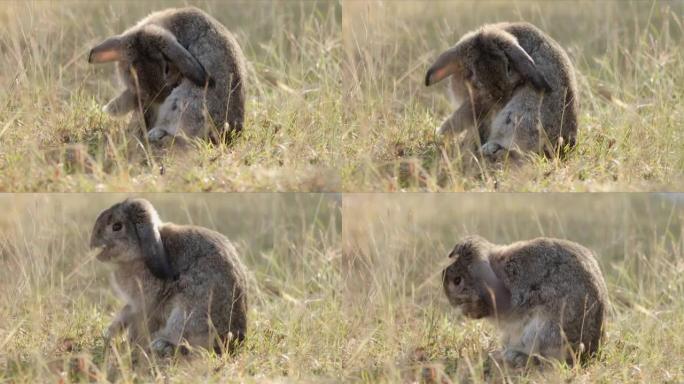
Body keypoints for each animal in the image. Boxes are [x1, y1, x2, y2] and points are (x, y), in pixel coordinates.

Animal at [90, 198, 248, 356]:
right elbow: (125, 314)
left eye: (117, 226)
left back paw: (159, 345)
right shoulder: (135, 304)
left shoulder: (145, 302)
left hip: (186, 312)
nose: (92, 244)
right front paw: (109, 335)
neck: (139, 253)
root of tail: (234, 339)